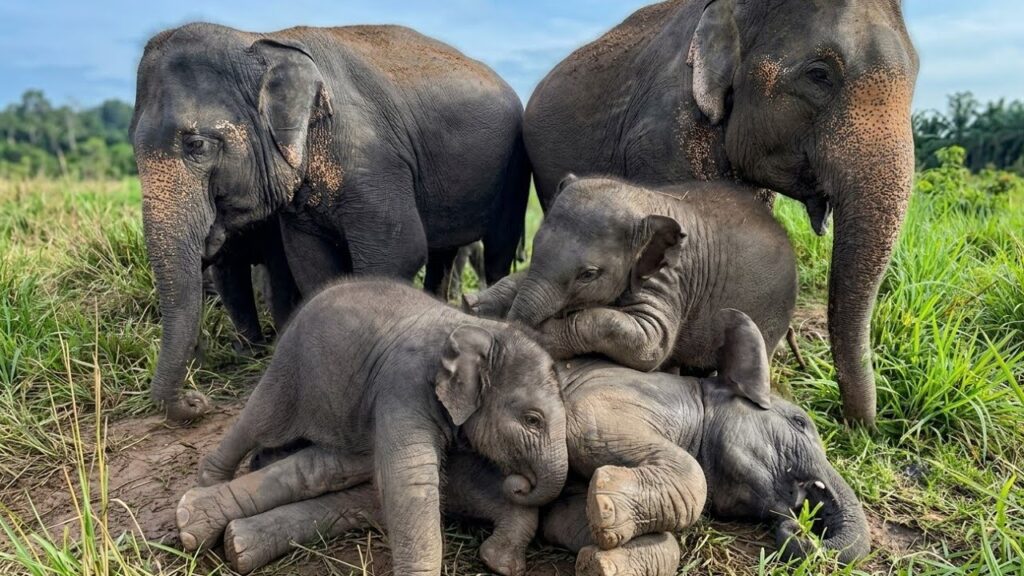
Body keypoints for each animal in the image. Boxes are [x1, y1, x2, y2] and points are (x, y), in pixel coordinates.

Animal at [130, 23, 530, 421]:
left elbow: (400, 250)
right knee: (444, 252)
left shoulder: (374, 163)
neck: (259, 40)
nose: (198, 401)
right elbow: (309, 265)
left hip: (513, 172)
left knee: (497, 248)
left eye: (196, 145)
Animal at [171, 310, 867, 575]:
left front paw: (598, 549)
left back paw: (233, 544)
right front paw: (607, 506)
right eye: (803, 424)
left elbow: (570, 521)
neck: (696, 395)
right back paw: (193, 523)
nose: (794, 526)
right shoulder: (600, 402)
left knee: (340, 491)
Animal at [176, 279, 568, 576]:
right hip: (290, 371)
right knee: (260, 420)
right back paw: (203, 492)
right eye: (533, 420)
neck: (482, 331)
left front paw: (499, 563)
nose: (520, 483)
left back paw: (231, 531)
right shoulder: (404, 387)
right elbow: (411, 480)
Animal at [465, 175, 797, 380]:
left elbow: (650, 344)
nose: (513, 327)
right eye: (533, 247)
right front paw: (477, 305)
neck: (645, 200)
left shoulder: (670, 280)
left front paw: (543, 335)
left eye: (588, 274)